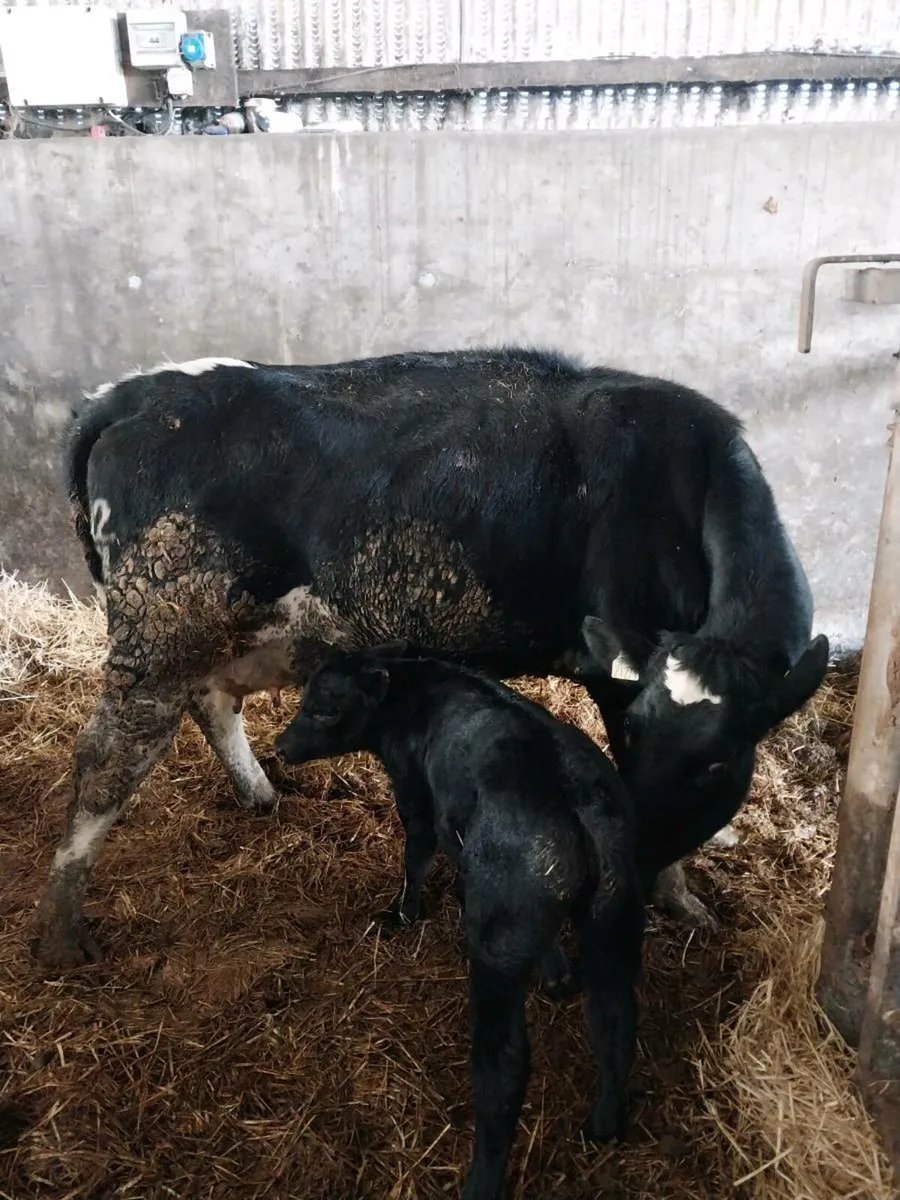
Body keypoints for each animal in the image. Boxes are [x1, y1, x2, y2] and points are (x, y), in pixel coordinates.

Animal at [34, 349, 828, 970]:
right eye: (639, 738)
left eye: (718, 764)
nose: (641, 859)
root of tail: (128, 395)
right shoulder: (618, 674)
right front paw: (681, 900)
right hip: (162, 627)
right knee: (106, 760)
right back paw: (63, 927)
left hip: (236, 630)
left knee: (212, 700)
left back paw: (259, 793)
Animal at [274, 645, 645, 1200]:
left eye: (326, 709)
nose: (279, 746)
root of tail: (577, 802)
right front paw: (556, 973)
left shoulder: (415, 791)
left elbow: (417, 852)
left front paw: (403, 913)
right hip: (613, 922)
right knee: (614, 1019)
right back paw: (605, 1122)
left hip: (496, 948)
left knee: (503, 1068)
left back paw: (481, 1181)